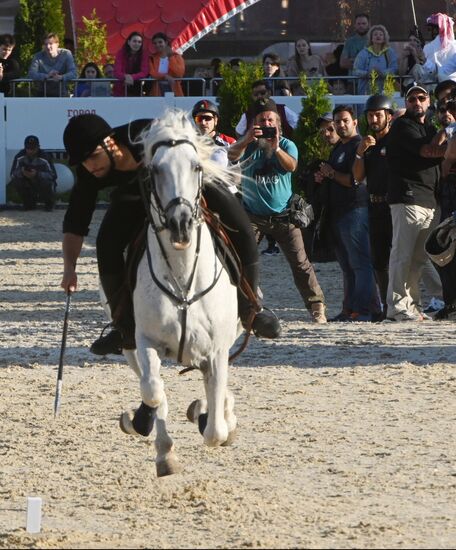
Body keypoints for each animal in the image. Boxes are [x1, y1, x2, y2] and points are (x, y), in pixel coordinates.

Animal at [120, 109, 242, 478]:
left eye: (196, 167)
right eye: (156, 170)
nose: (181, 224)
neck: (183, 276)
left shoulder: (217, 349)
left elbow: (215, 430)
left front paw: (212, 416)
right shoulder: (144, 341)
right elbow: (153, 390)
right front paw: (151, 434)